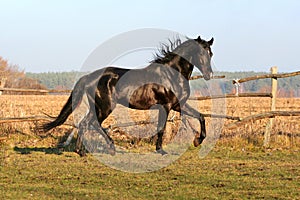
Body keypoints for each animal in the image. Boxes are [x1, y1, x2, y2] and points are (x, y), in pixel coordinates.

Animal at [41, 36, 214, 156]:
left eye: (210, 53)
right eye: (200, 52)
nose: (209, 75)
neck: (172, 75)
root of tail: (89, 77)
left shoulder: (178, 105)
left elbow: (201, 117)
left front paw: (197, 141)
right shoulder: (166, 106)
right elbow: (161, 128)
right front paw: (161, 151)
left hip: (97, 107)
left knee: (85, 123)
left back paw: (81, 152)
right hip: (106, 107)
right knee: (92, 123)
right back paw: (109, 148)